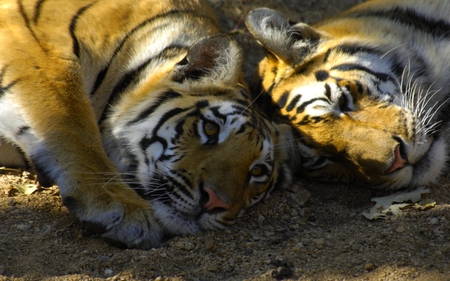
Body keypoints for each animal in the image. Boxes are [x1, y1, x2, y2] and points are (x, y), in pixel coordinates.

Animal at [0, 0, 296, 248]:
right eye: (210, 128)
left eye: (257, 171)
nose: (215, 202)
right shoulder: (29, 46)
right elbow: (71, 124)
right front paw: (122, 208)